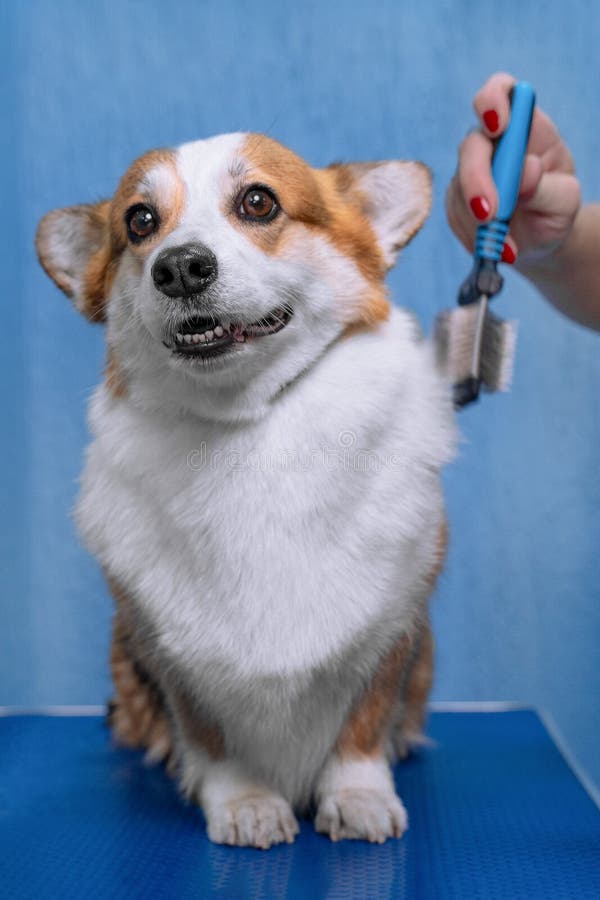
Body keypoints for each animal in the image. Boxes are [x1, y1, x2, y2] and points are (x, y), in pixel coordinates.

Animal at [36, 130, 454, 848]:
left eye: (258, 202)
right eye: (139, 222)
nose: (179, 267)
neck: (246, 425)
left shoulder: (393, 625)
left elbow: (364, 724)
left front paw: (360, 796)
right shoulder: (171, 656)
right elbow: (211, 737)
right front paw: (245, 803)